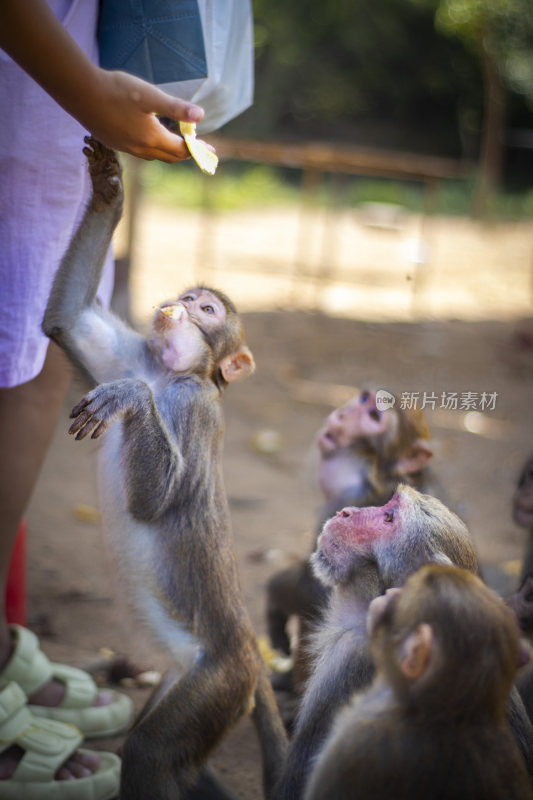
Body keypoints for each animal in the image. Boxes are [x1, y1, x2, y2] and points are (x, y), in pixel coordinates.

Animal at [42, 139, 286, 800]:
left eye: (207, 309)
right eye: (187, 295)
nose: (178, 306)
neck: (163, 371)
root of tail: (250, 657)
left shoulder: (195, 406)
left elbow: (153, 503)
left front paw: (129, 397)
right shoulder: (136, 352)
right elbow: (64, 323)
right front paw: (109, 186)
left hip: (215, 684)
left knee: (151, 750)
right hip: (188, 683)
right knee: (174, 760)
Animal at [266, 390, 436, 696]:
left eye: (374, 417)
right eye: (365, 398)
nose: (343, 415)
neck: (369, 472)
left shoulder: (347, 498)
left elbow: (316, 589)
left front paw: (275, 594)